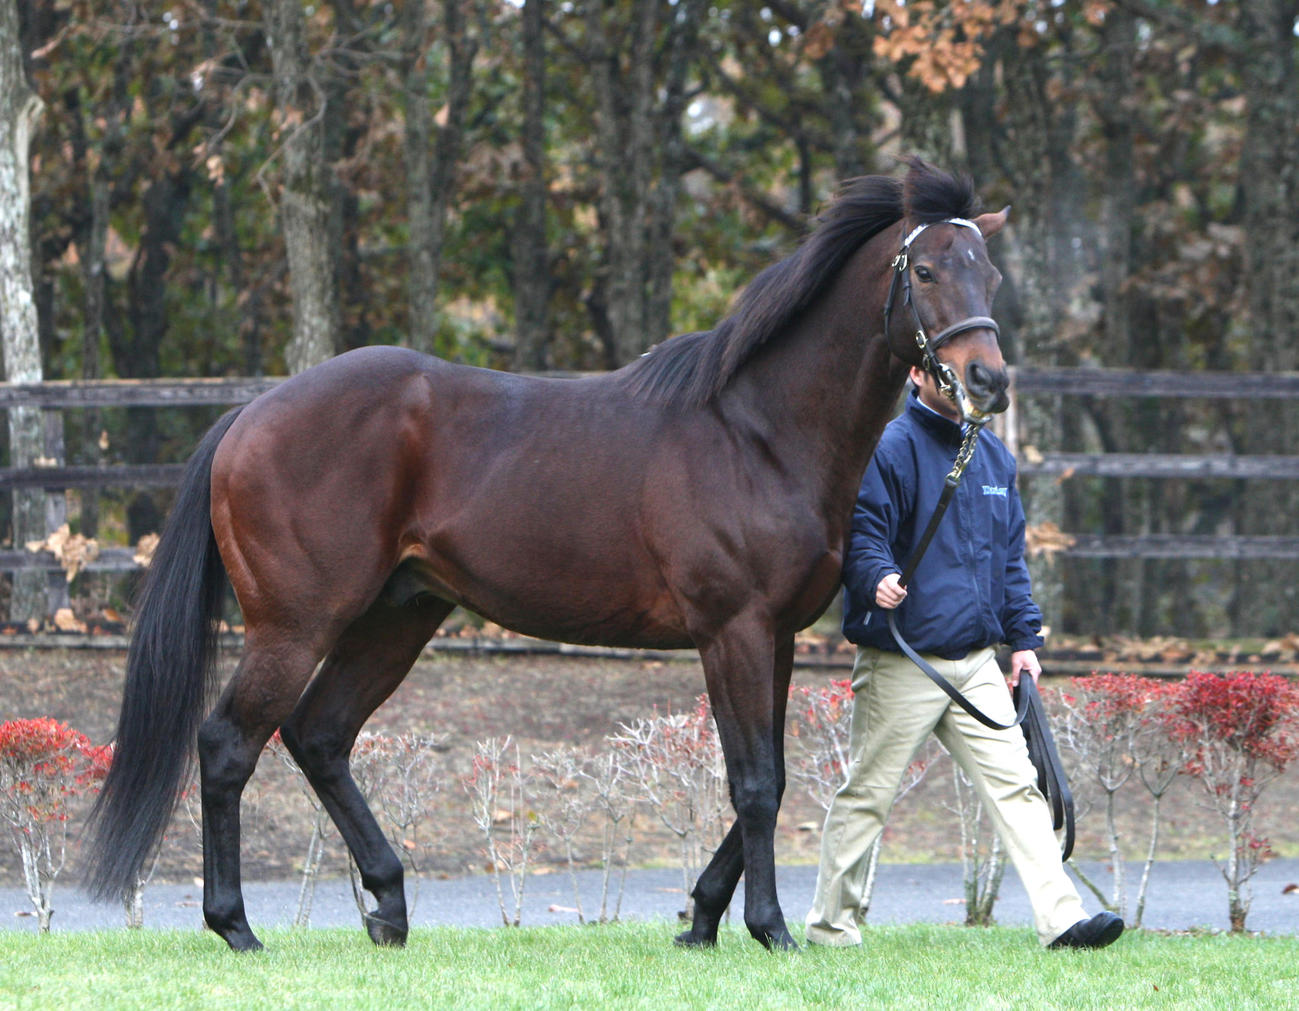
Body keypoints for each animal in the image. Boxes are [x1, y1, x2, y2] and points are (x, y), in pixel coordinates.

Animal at [84, 158, 1010, 952]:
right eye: (927, 271)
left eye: (989, 272)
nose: (988, 379)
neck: (757, 430)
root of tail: (249, 415)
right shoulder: (732, 631)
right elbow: (753, 781)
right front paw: (767, 927)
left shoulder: (775, 635)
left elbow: (772, 777)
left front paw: (700, 918)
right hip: (296, 624)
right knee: (227, 744)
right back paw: (236, 924)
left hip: (397, 616)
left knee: (319, 736)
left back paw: (387, 904)